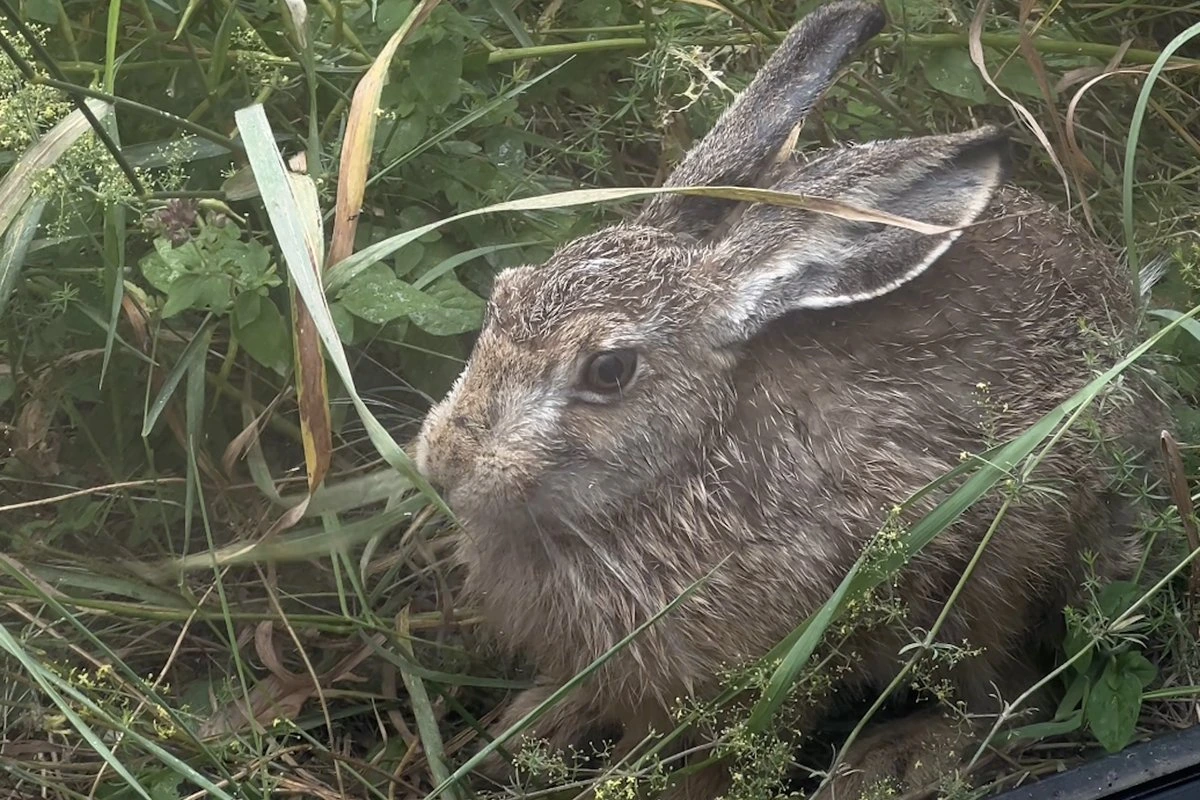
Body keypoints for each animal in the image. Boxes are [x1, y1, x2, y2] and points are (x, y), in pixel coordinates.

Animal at [412, 1, 1167, 797]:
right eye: (501, 296)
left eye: (609, 370)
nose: (444, 464)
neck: (677, 469)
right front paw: (539, 724)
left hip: (1012, 560)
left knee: (1005, 692)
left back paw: (893, 761)